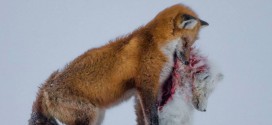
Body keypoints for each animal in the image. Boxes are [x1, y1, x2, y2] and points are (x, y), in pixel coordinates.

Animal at [28, 3, 208, 125]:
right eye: (186, 42)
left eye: (192, 43)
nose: (186, 61)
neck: (157, 44)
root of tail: (46, 89)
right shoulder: (146, 86)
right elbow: (152, 117)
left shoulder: (140, 93)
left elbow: (142, 118)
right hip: (90, 115)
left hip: (97, 116)